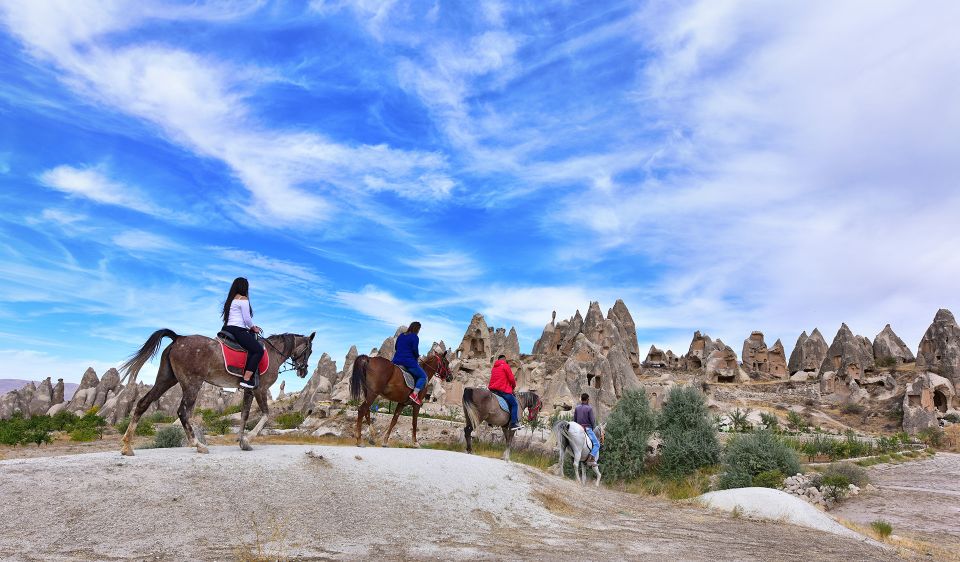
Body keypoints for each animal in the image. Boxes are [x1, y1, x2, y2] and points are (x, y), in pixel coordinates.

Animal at [117, 328, 316, 456]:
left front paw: (242, 442)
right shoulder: (261, 389)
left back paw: (127, 446)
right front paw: (249, 439)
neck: (273, 353)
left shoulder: (249, 391)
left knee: (143, 403)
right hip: (192, 383)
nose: (303, 371)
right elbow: (266, 415)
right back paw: (198, 445)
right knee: (182, 412)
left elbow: (244, 415)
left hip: (166, 379)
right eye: (310, 350)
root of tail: (178, 338)